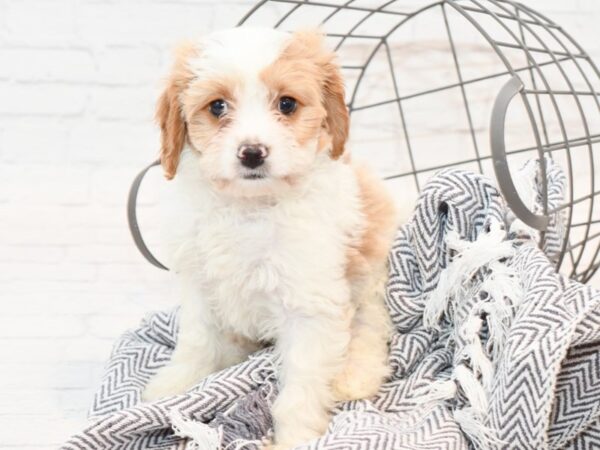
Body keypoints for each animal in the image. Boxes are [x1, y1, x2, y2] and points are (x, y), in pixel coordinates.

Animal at [144, 28, 400, 450]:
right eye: (217, 107)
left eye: (287, 103)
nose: (252, 152)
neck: (251, 208)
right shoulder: (199, 285)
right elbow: (196, 341)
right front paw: (175, 385)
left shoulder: (311, 306)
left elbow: (300, 384)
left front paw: (293, 436)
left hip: (370, 275)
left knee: (370, 326)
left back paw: (353, 376)